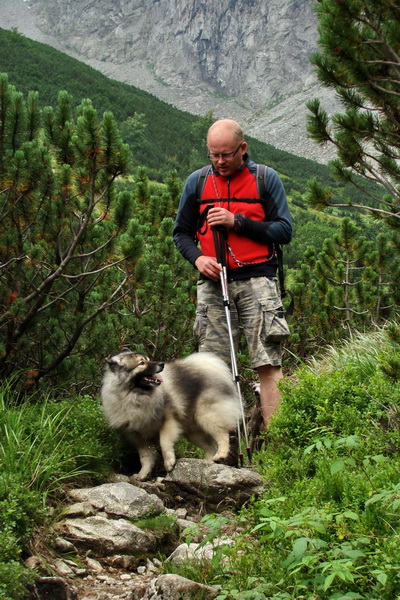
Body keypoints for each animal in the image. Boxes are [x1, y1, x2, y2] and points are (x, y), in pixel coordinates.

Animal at [100, 350, 241, 480]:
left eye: (148, 359)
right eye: (141, 363)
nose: (161, 364)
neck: (135, 396)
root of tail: (211, 367)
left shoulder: (167, 420)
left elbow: (164, 443)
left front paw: (169, 462)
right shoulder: (140, 437)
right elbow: (145, 457)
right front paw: (142, 474)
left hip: (207, 416)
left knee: (222, 435)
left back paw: (221, 454)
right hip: (194, 433)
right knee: (210, 447)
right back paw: (207, 464)